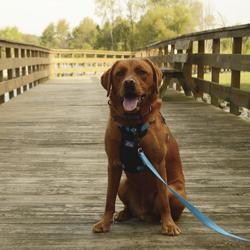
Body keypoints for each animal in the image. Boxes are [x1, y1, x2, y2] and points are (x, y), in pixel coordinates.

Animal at [93, 59, 187, 236]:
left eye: (142, 72)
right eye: (120, 73)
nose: (129, 83)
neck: (132, 124)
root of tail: (143, 211)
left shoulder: (158, 163)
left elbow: (164, 201)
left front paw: (168, 224)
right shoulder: (113, 164)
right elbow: (109, 198)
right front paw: (105, 222)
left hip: (175, 192)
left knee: (167, 205)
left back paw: (165, 219)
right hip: (124, 184)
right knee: (129, 206)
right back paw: (124, 213)